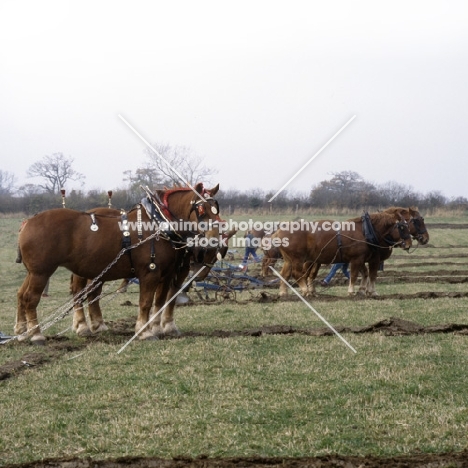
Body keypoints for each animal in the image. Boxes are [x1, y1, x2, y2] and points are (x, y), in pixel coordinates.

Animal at [16, 184, 221, 344]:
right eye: (202, 210)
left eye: (216, 207)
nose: (215, 237)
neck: (159, 224)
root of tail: (28, 222)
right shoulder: (150, 273)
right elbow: (146, 302)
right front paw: (144, 332)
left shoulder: (167, 273)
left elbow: (161, 301)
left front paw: (157, 328)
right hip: (42, 273)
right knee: (32, 298)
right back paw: (37, 335)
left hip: (33, 272)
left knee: (21, 295)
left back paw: (21, 331)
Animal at [276, 212, 412, 296]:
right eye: (402, 227)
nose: (409, 244)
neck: (366, 231)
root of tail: (279, 232)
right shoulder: (360, 259)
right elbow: (358, 275)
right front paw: (354, 291)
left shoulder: (362, 259)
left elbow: (365, 274)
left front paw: (363, 291)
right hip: (298, 259)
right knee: (297, 274)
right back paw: (305, 291)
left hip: (289, 259)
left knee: (285, 274)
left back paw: (283, 293)